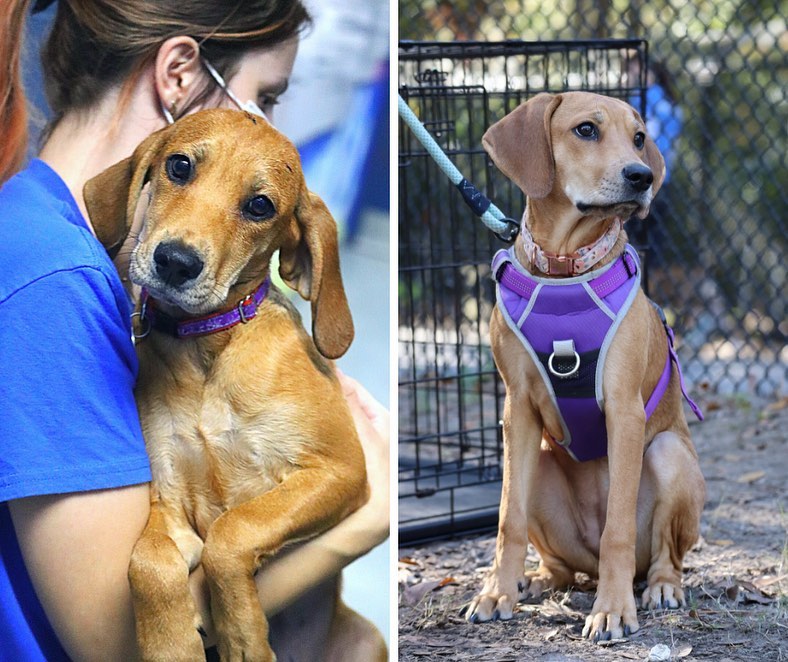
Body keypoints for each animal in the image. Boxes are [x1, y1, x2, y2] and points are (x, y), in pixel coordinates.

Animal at [83, 109, 384, 662]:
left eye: (260, 206)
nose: (175, 262)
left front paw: (243, 635)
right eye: (179, 166)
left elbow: (234, 529)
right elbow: (148, 563)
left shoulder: (340, 471)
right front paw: (172, 646)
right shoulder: (167, 501)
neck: (207, 352)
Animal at [464, 92, 704, 644]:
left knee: (663, 556)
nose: (641, 175)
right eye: (586, 130)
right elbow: (507, 518)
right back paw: (533, 580)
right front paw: (495, 593)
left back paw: (660, 588)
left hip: (667, 455)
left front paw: (613, 611)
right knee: (559, 565)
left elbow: (618, 527)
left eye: (639, 138)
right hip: (539, 465)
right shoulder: (517, 412)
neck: (563, 266)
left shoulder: (624, 412)